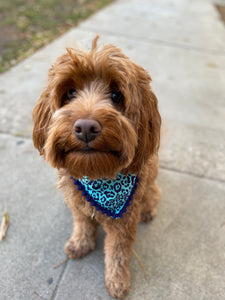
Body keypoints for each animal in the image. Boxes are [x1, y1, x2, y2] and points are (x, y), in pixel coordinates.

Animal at [32, 36, 161, 298]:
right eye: (70, 92)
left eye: (116, 94)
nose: (86, 128)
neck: (96, 175)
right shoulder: (78, 205)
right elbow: (82, 224)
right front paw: (80, 243)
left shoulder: (123, 223)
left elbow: (117, 253)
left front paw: (117, 281)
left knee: (153, 193)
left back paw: (148, 209)